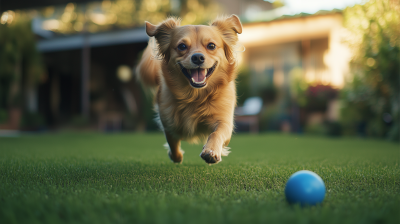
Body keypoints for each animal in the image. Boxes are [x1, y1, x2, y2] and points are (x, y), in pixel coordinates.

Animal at [136, 14, 242, 164]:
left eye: (211, 46)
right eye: (182, 46)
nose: (197, 57)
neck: (195, 96)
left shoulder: (224, 121)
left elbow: (217, 133)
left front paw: (211, 151)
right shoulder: (168, 122)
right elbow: (172, 141)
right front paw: (176, 156)